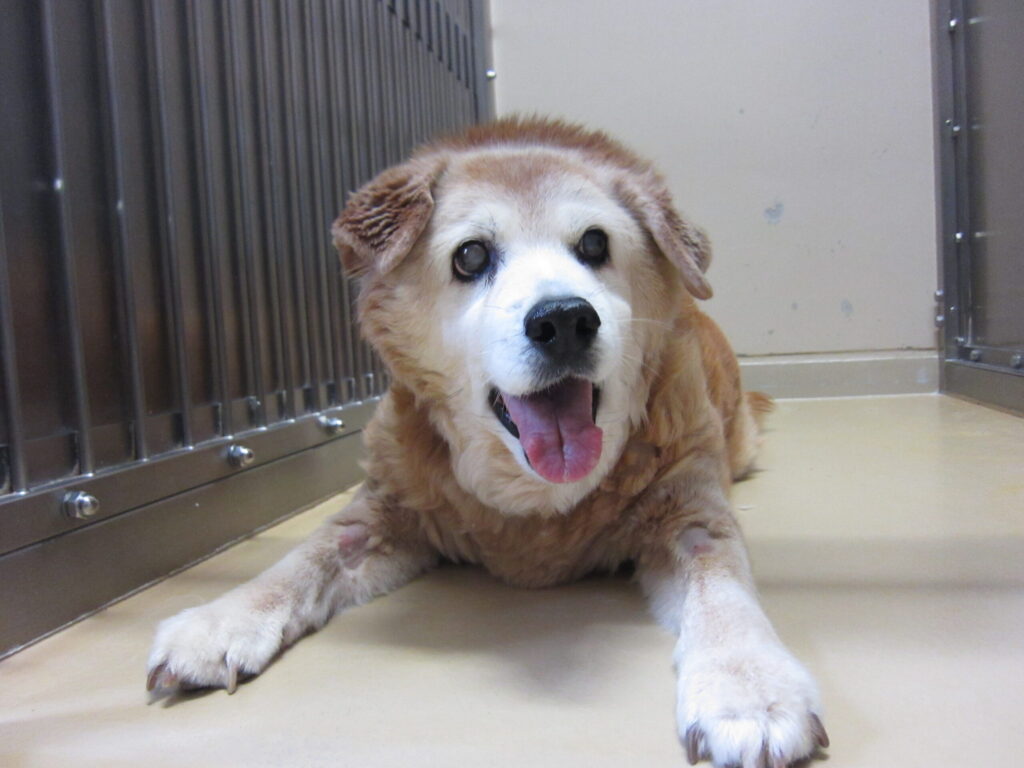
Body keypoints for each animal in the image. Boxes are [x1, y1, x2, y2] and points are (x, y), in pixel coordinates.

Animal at [147, 118, 828, 767]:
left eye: (595, 244)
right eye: (471, 256)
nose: (564, 320)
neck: (535, 505)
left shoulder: (690, 512)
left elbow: (724, 588)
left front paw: (750, 691)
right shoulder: (389, 507)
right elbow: (307, 554)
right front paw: (222, 620)